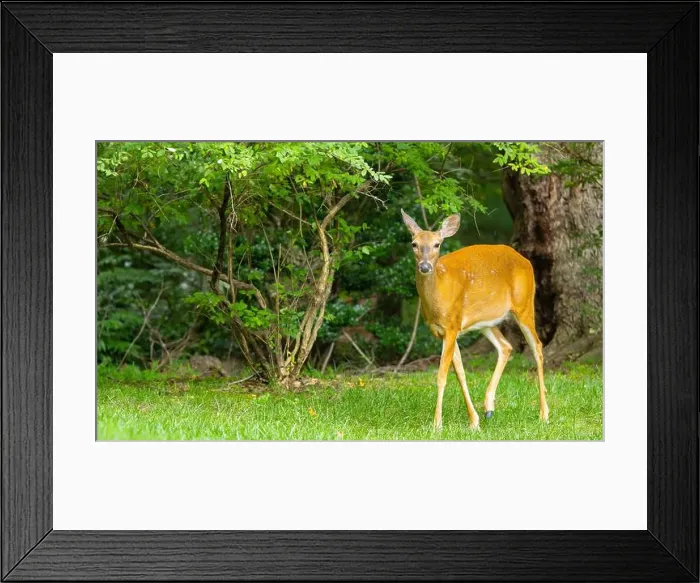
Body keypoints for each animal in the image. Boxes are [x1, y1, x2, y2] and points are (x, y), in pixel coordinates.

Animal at [400, 209, 549, 431]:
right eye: (414, 244)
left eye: (437, 244)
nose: (424, 266)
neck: (438, 295)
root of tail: (525, 260)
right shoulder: (444, 331)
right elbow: (460, 373)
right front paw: (474, 421)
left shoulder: (452, 325)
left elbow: (442, 376)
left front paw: (437, 424)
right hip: (485, 321)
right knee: (505, 346)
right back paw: (489, 408)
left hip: (524, 305)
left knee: (537, 346)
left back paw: (544, 414)